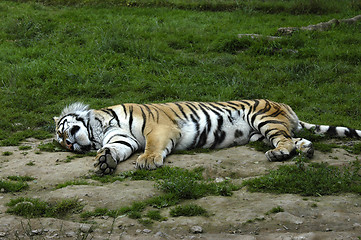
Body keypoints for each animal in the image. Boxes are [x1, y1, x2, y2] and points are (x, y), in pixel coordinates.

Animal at [53, 98, 360, 175]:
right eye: (61, 143)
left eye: (62, 131)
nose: (69, 145)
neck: (100, 127)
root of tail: (284, 105)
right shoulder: (121, 139)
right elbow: (115, 149)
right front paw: (104, 160)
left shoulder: (158, 128)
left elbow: (152, 146)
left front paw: (148, 160)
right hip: (266, 130)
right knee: (295, 140)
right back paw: (305, 150)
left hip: (263, 118)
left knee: (285, 141)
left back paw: (279, 154)